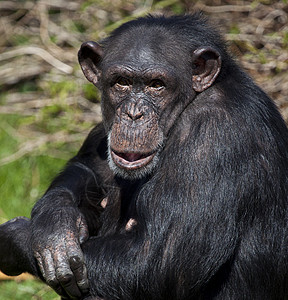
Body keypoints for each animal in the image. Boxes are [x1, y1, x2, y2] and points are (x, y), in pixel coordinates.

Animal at [0, 12, 288, 298]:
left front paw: (16, 236)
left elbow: (154, 262)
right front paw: (55, 227)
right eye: (122, 82)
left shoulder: (212, 135)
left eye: (156, 85)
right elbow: (88, 165)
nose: (133, 113)